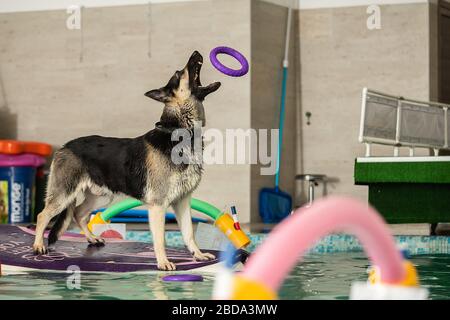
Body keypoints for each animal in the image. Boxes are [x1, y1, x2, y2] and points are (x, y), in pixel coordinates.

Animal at [32, 52, 221, 270]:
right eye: (178, 73)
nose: (196, 53)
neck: (179, 132)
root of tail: (64, 146)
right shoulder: (158, 206)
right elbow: (160, 238)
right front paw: (163, 262)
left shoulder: (183, 201)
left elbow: (189, 232)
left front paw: (197, 254)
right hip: (64, 194)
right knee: (43, 215)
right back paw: (38, 245)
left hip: (101, 196)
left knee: (78, 213)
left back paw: (92, 238)